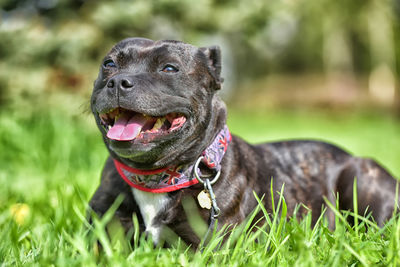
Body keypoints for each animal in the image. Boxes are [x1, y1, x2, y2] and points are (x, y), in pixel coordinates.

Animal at [89, 37, 398, 249]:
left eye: (169, 68)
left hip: (361, 176)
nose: (119, 81)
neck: (157, 178)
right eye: (109, 64)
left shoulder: (205, 246)